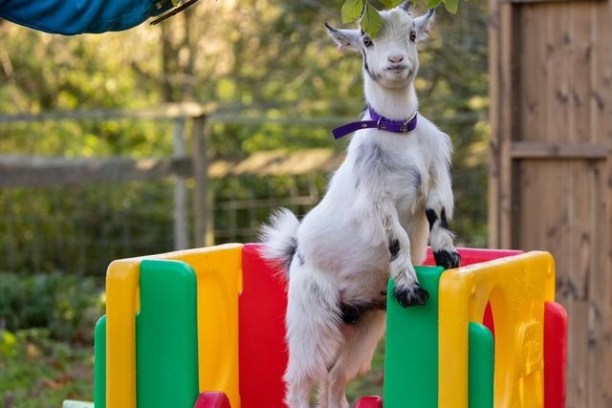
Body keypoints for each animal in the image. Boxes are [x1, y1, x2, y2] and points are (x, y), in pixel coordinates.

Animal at [260, 2, 456, 404]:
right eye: (366, 40)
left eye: (413, 34)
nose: (395, 60)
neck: (399, 132)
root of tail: (294, 253)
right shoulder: (376, 197)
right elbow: (397, 237)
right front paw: (411, 290)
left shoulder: (435, 175)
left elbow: (438, 215)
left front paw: (449, 257)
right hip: (311, 318)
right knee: (301, 380)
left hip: (365, 324)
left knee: (334, 379)